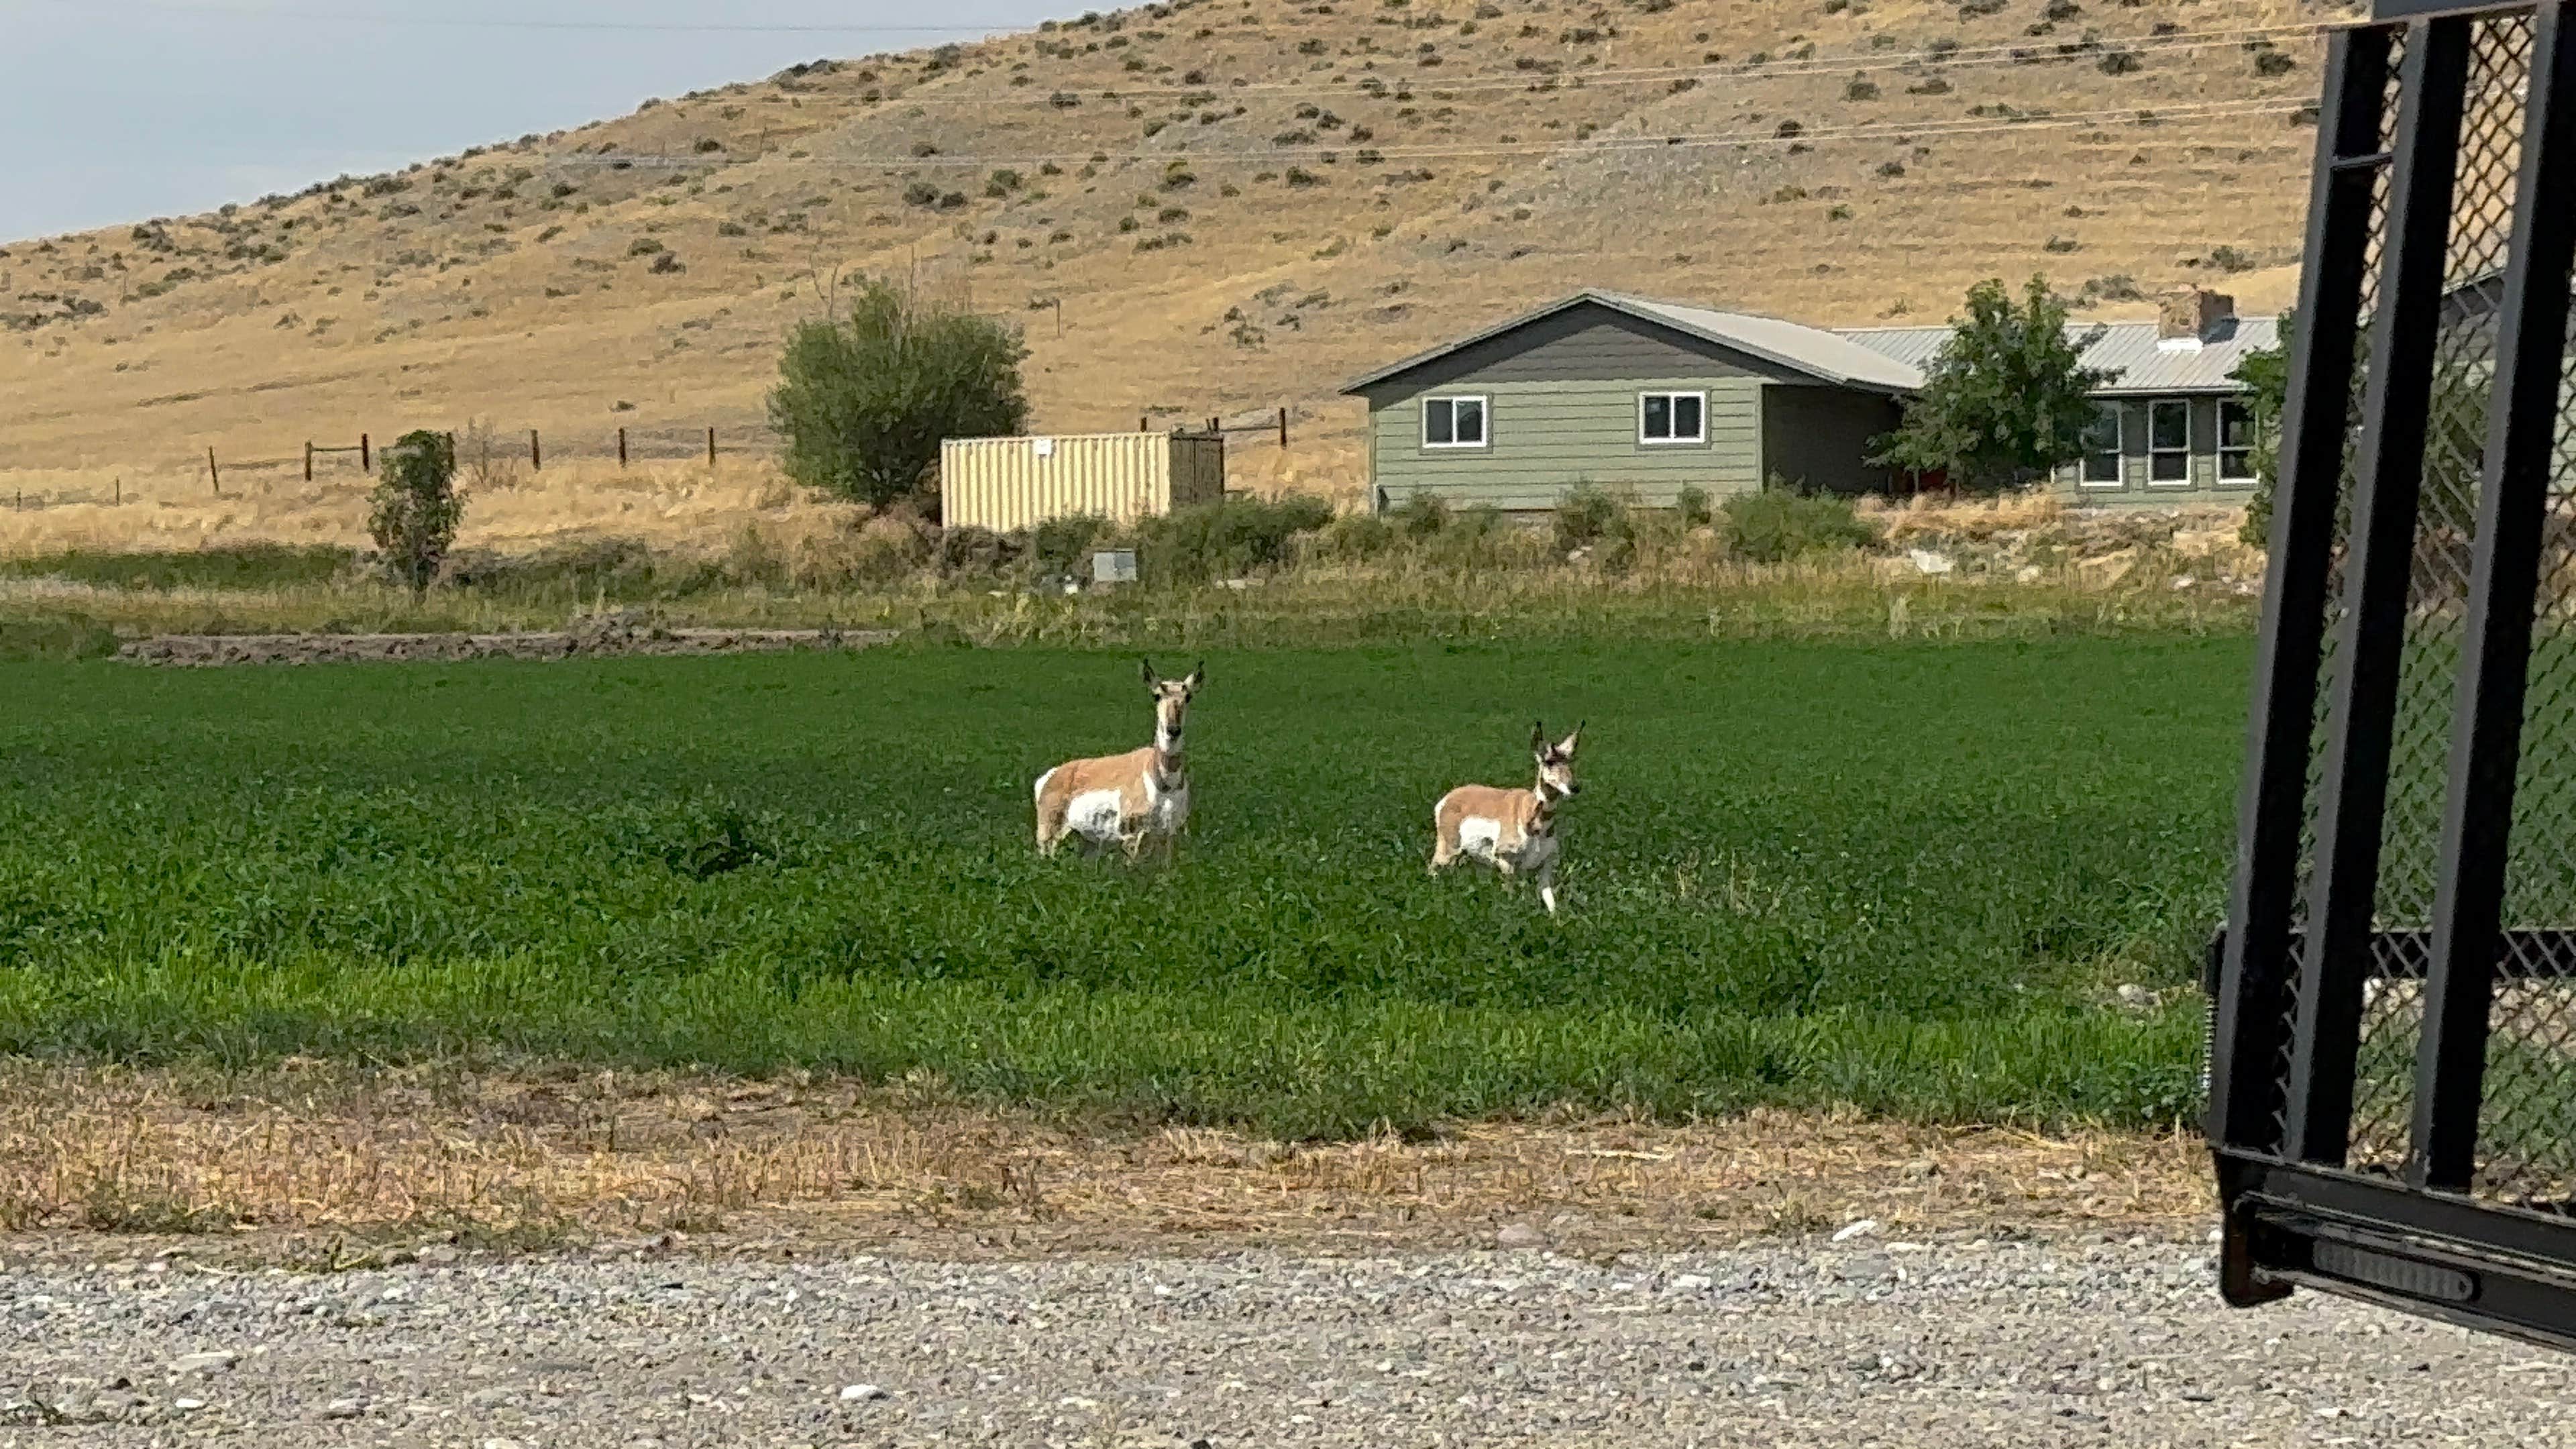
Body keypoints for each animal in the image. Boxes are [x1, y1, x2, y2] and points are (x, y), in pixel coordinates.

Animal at [1030, 665, 1200, 856]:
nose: (1173, 730)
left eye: (1188, 697)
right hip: (1048, 836)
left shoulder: (1169, 835)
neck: (1166, 783)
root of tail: (1052, 774)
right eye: (1156, 695)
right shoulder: (1131, 836)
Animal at [1421, 716, 1576, 907]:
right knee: (1433, 869)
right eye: (1548, 762)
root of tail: (1448, 797)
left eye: (1570, 762)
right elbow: (1511, 896)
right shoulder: (1506, 862)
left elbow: (1551, 904)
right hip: (1448, 851)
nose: (1574, 787)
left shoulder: (1546, 866)